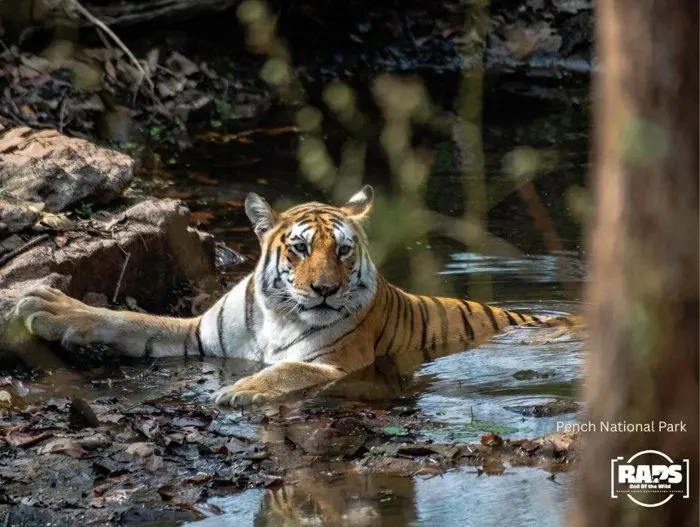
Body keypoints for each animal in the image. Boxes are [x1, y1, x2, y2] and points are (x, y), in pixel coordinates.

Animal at [13, 185, 581, 408]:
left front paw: (238, 390)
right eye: (301, 248)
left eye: (345, 251)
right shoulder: (197, 333)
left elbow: (284, 371)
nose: (325, 289)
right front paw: (44, 307)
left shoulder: (332, 364)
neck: (275, 315)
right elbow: (129, 320)